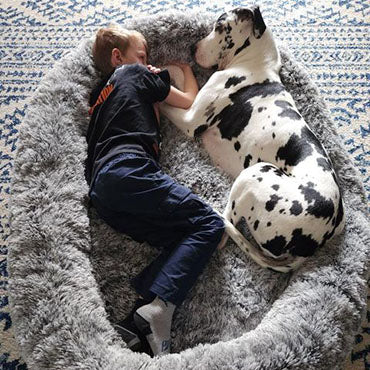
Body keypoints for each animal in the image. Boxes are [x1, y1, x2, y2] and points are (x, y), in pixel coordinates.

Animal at [160, 6, 346, 272]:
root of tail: (312, 242)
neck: (254, 64)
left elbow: (164, 102)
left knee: (226, 226)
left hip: (254, 174)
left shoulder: (190, 119)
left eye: (220, 27)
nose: (192, 48)